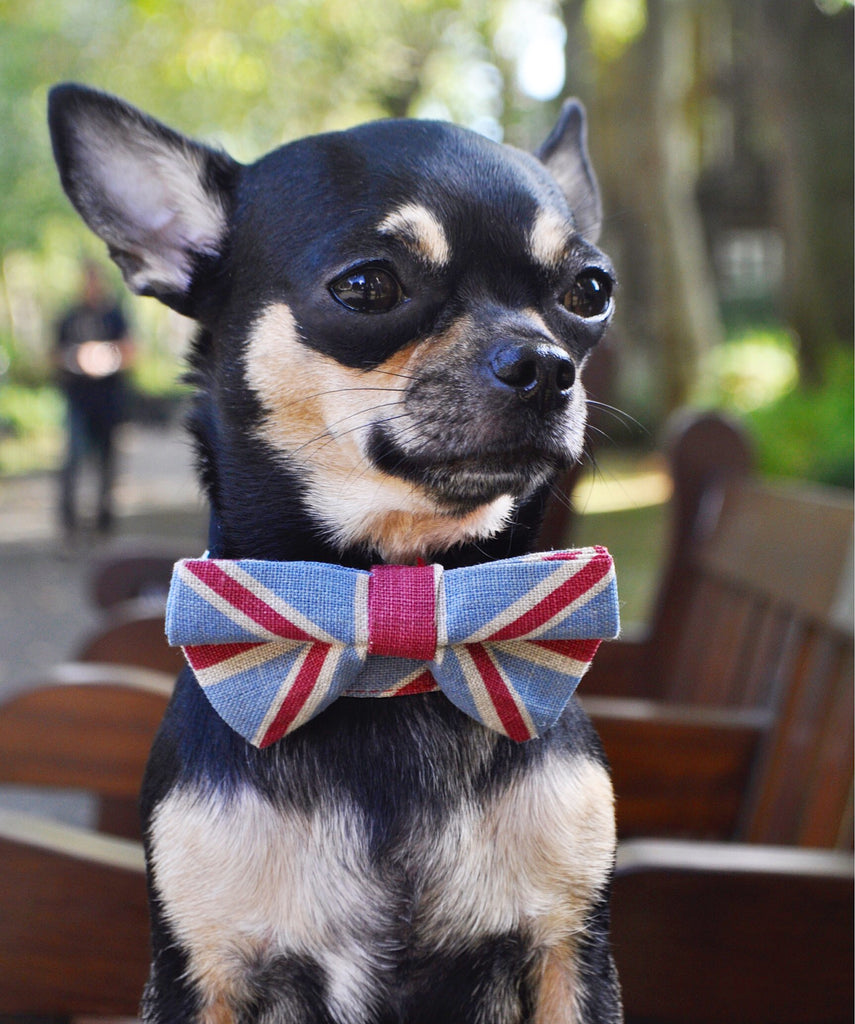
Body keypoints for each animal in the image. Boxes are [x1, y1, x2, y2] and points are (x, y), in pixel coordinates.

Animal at [48, 83, 622, 1019]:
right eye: (367, 286)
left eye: (590, 290)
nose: (544, 365)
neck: (391, 625)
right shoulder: (202, 972)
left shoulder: (570, 956)